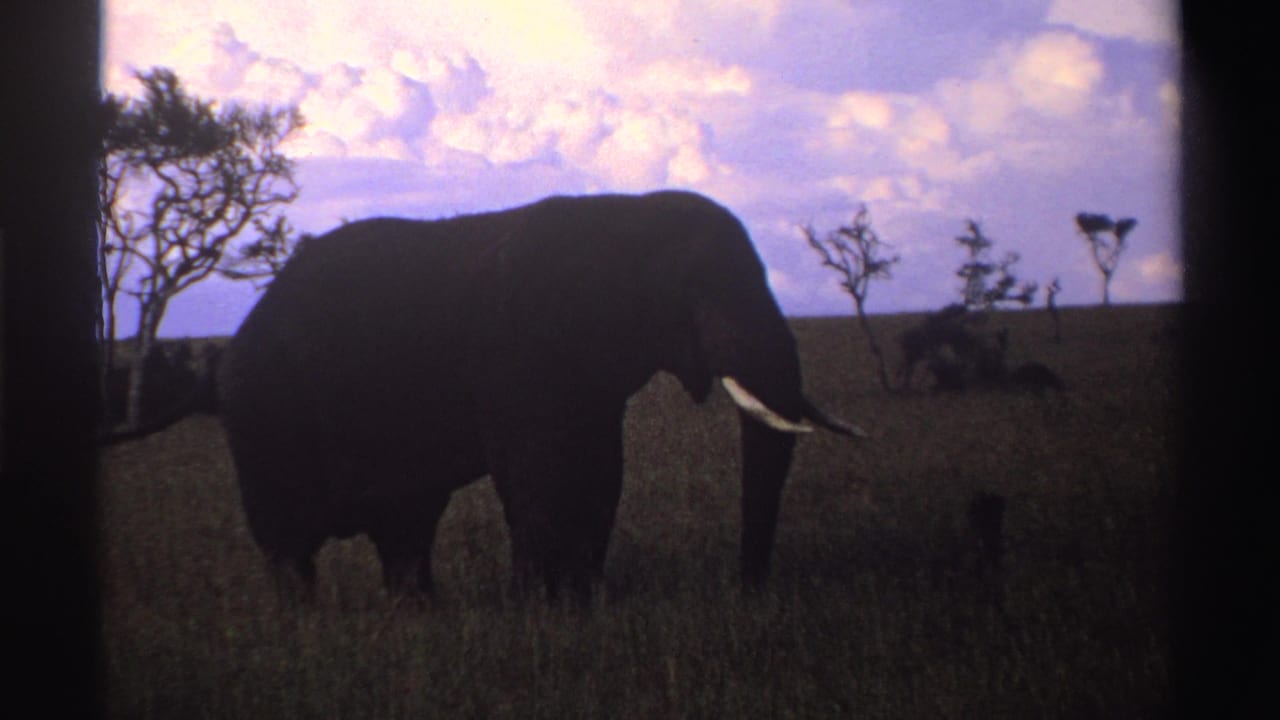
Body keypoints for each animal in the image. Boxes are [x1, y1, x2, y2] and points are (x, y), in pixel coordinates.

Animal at [218, 190, 863, 602]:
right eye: (697, 290)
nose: (747, 590)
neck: (629, 215)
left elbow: (600, 471)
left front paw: (583, 601)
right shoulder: (515, 348)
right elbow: (538, 473)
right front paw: (538, 609)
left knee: (406, 527)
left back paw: (419, 614)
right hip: (264, 412)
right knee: (289, 541)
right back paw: (306, 624)